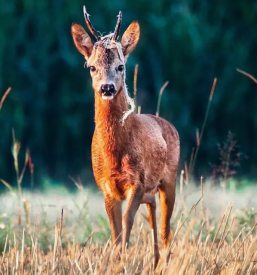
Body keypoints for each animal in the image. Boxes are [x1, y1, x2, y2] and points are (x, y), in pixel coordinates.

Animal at [70, 7, 180, 270]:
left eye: (121, 66)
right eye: (91, 67)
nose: (107, 88)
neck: (114, 154)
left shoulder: (136, 182)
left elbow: (127, 226)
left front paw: (122, 263)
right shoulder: (107, 187)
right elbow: (115, 233)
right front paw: (115, 264)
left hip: (169, 179)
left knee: (166, 230)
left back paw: (163, 263)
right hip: (151, 189)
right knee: (153, 213)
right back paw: (155, 261)